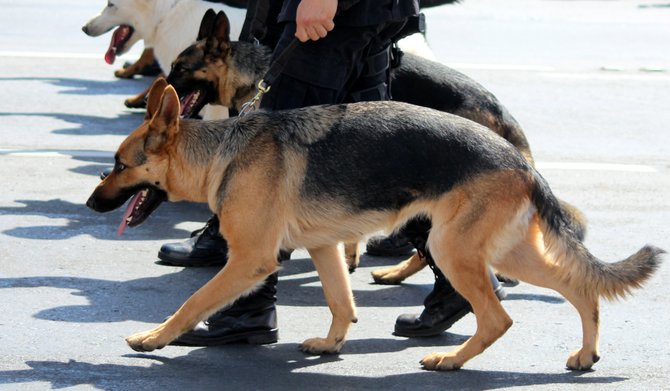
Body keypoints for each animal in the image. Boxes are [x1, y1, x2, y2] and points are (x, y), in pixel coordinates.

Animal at [86, 79, 664, 370]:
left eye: (118, 164)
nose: (90, 203)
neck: (222, 152)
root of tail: (521, 162)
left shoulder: (249, 260)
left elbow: (193, 301)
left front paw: (155, 338)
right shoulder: (323, 249)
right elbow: (341, 301)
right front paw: (331, 345)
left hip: (453, 250)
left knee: (499, 318)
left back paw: (451, 359)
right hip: (500, 252)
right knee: (580, 288)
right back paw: (586, 355)